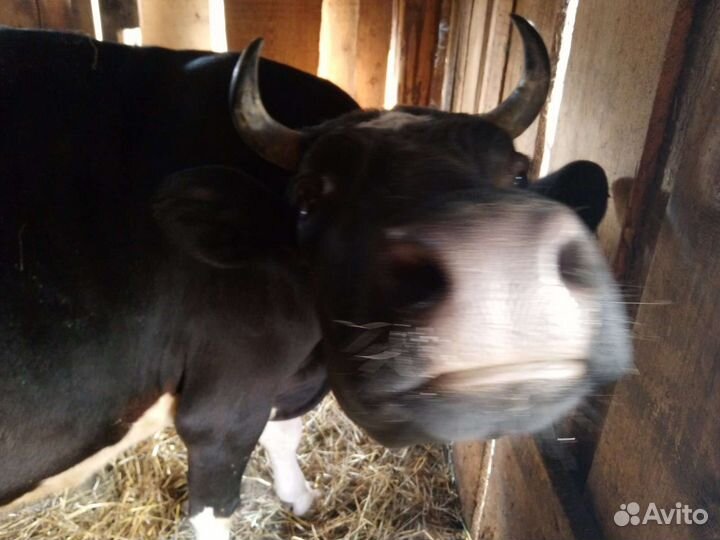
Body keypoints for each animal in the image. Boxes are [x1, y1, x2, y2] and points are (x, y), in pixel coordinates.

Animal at [0, 16, 632, 540]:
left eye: (519, 176)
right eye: (309, 203)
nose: (494, 294)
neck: (311, 354)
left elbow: (286, 433)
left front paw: (299, 497)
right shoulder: (222, 405)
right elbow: (214, 509)